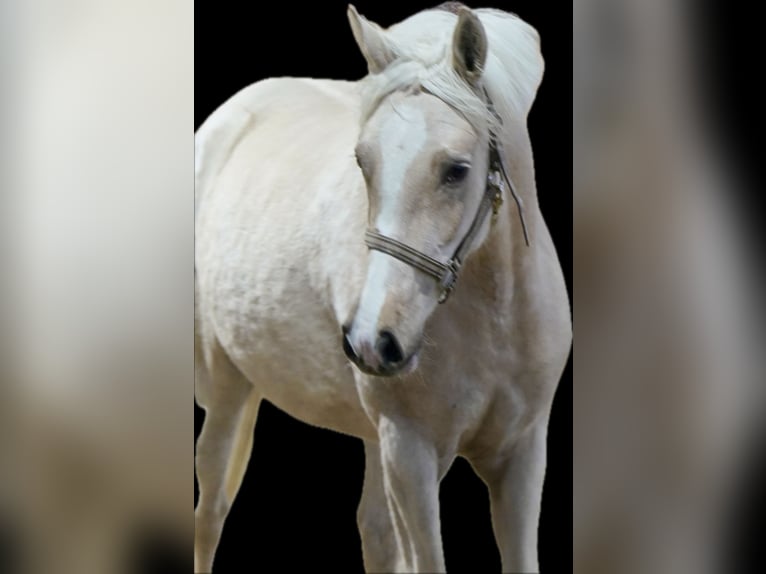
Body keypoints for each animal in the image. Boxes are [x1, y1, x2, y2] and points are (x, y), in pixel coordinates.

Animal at [194, 4, 571, 572]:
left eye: (456, 170)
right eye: (362, 161)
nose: (374, 339)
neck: (494, 322)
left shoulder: (522, 456)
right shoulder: (411, 453)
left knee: (374, 531)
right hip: (227, 382)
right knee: (211, 506)